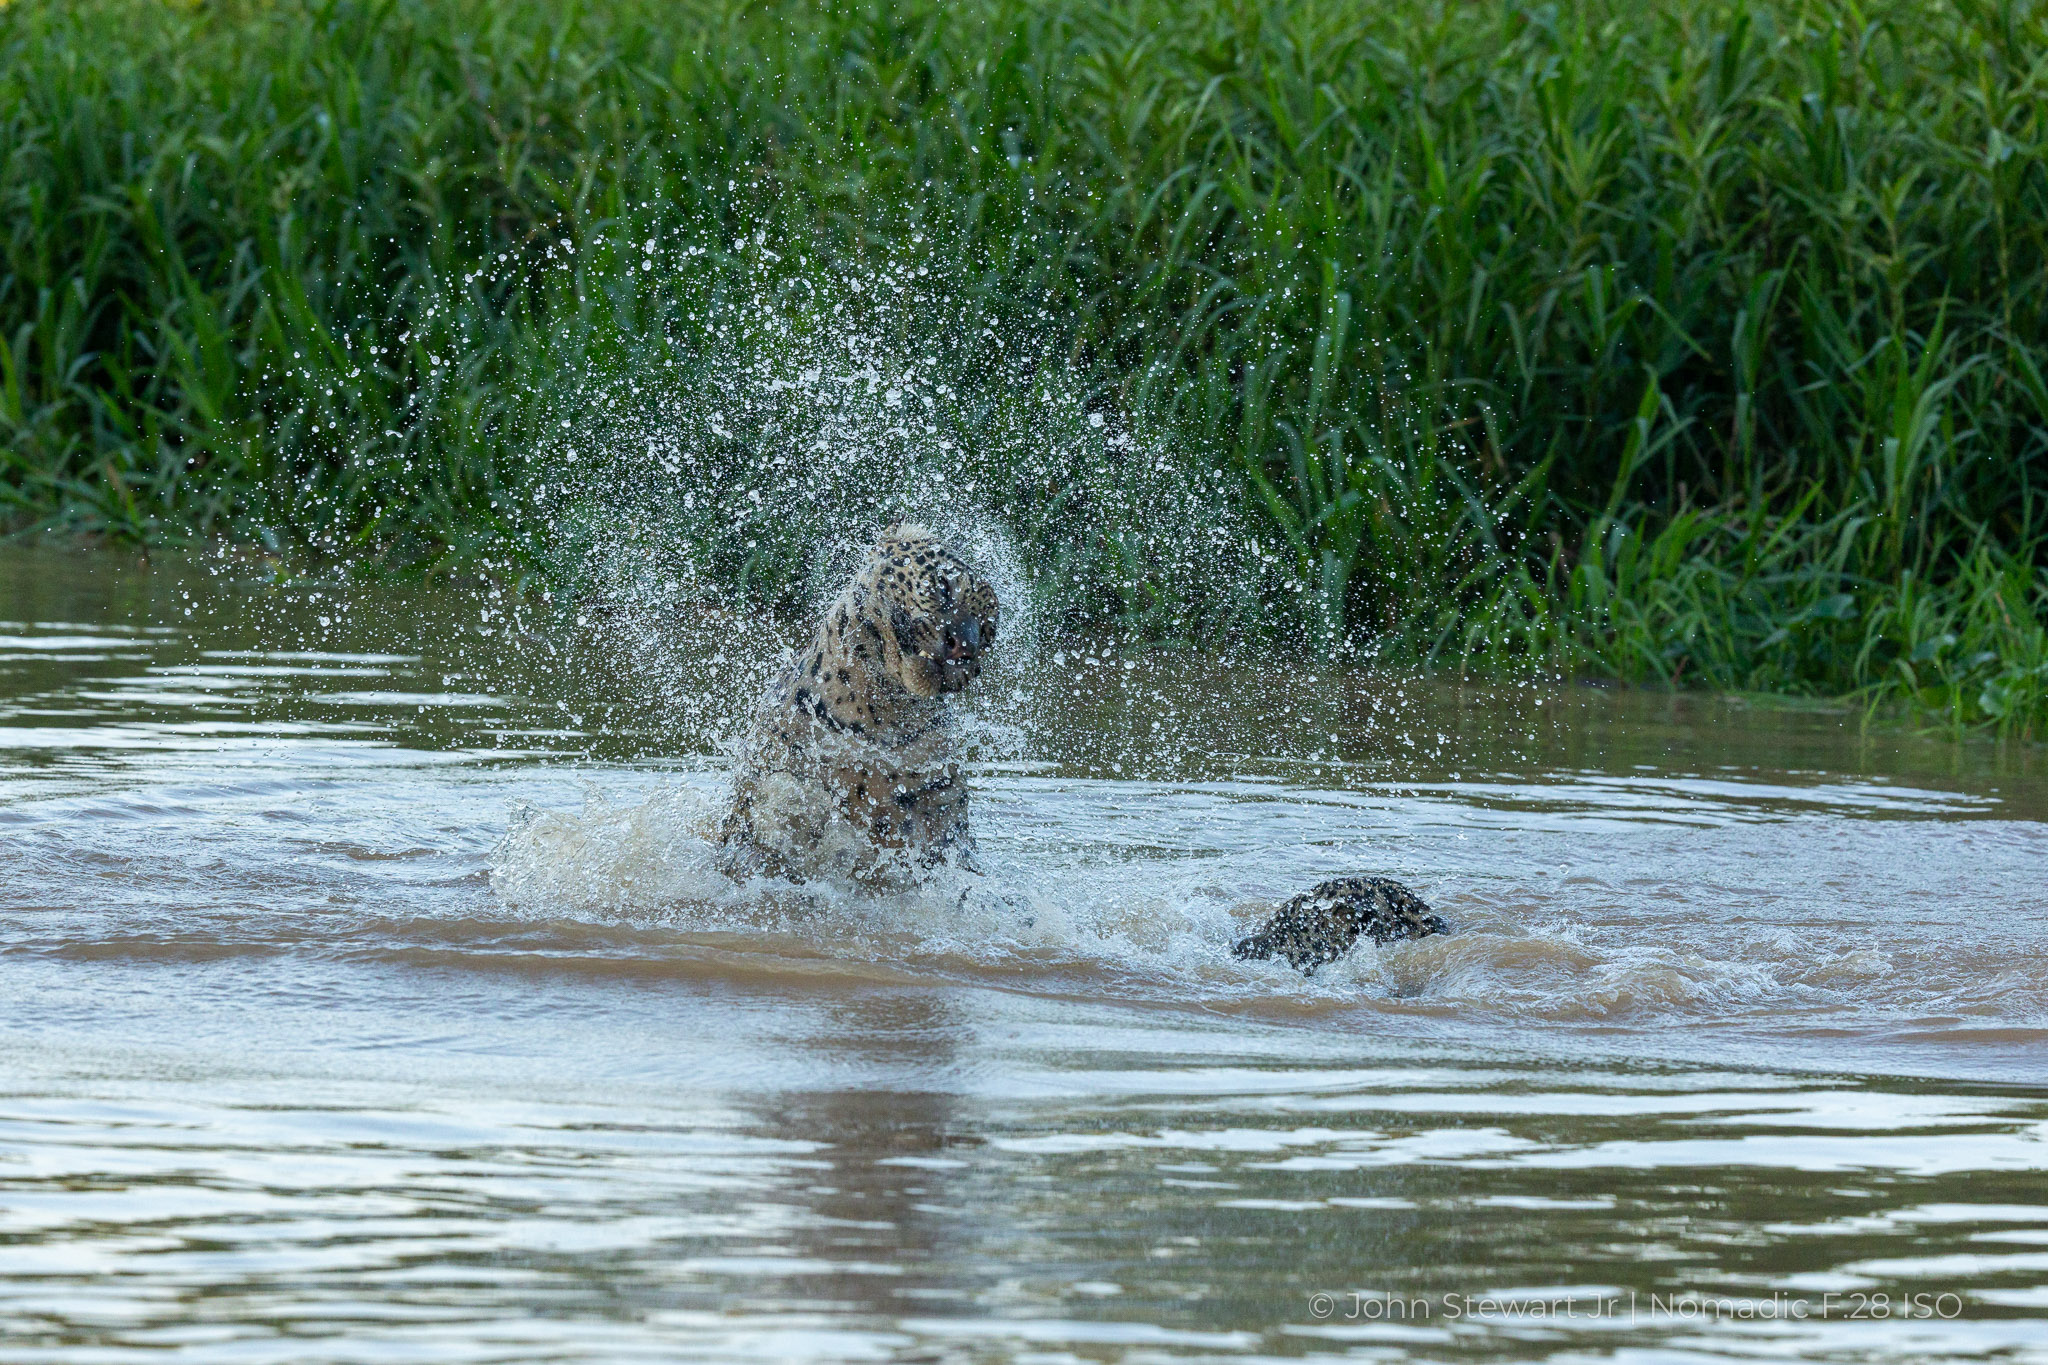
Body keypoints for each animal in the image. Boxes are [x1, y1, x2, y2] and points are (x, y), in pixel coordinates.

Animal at [716, 523, 999, 886]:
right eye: (944, 585)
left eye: (987, 630)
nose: (964, 646)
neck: (879, 718)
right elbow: (771, 818)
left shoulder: (944, 818)